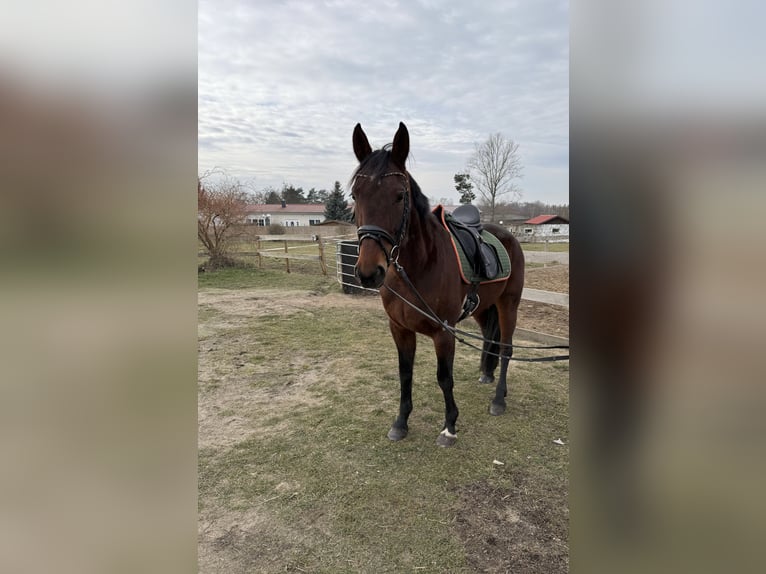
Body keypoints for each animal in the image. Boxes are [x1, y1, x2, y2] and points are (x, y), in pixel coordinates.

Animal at [352, 122, 524, 450]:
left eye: (399, 195)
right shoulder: (400, 329)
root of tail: (507, 234)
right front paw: (400, 423)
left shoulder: (444, 332)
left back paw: (499, 399)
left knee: (506, 348)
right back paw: (487, 375)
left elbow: (444, 378)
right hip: (483, 308)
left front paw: (449, 427)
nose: (369, 273)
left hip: (509, 303)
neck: (418, 267)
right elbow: (405, 374)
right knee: (490, 338)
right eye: (355, 194)